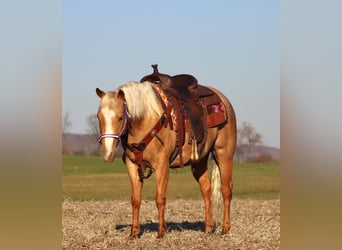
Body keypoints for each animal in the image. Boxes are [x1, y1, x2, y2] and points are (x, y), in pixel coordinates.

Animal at [96, 80, 235, 238]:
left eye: (120, 117)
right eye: (98, 117)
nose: (107, 152)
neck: (146, 121)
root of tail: (223, 99)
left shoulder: (162, 166)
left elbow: (160, 198)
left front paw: (161, 232)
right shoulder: (133, 166)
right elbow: (135, 200)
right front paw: (134, 233)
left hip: (224, 155)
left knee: (226, 190)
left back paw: (225, 228)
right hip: (199, 161)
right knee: (206, 189)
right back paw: (208, 229)